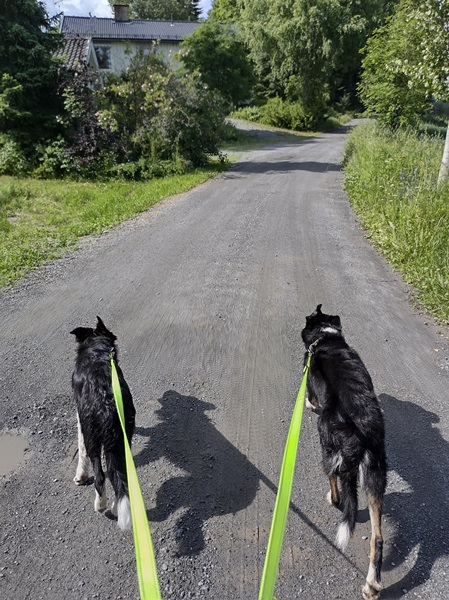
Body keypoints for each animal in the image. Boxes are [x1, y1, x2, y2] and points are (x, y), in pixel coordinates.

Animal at [70, 318, 135, 528]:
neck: (97, 349)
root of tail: (107, 404)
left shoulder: (80, 419)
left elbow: (81, 451)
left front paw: (80, 476)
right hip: (123, 439)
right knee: (120, 478)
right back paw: (116, 507)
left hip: (94, 438)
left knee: (100, 476)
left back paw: (101, 505)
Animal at [302, 308, 386, 596]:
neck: (326, 337)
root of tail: (363, 431)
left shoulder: (311, 384)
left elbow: (311, 397)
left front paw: (307, 404)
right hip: (375, 475)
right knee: (377, 538)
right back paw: (371, 585)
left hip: (327, 439)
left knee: (334, 481)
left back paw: (333, 498)